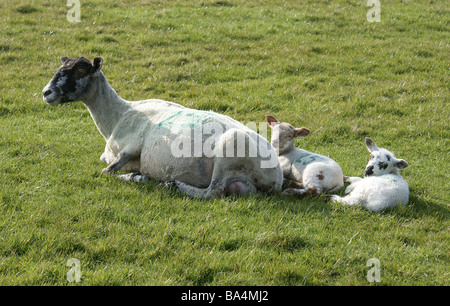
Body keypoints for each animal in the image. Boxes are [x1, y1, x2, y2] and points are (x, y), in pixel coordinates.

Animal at [42, 56, 282, 197]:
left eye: (80, 71)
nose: (46, 92)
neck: (118, 116)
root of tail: (277, 177)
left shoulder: (131, 148)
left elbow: (106, 172)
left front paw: (138, 177)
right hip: (245, 184)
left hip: (230, 148)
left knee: (213, 192)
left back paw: (171, 185)